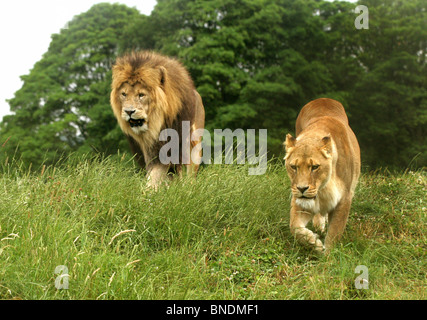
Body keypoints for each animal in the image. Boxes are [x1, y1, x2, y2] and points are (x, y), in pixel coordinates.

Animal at [111, 51, 206, 189]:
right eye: (124, 94)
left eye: (141, 95)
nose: (129, 112)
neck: (153, 126)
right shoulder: (145, 149)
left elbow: (159, 172)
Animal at [286, 99, 360, 254]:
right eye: (294, 167)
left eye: (315, 167)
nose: (302, 188)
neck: (324, 187)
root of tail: (323, 99)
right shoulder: (299, 200)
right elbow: (294, 227)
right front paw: (314, 243)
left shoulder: (344, 199)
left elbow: (334, 233)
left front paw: (328, 256)